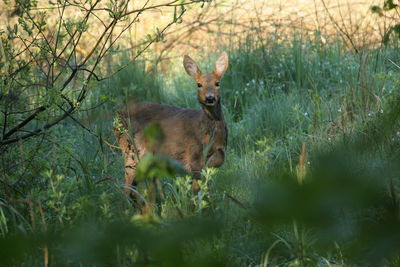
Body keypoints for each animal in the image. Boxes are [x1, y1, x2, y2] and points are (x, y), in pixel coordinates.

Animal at [114, 51, 230, 201]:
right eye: (199, 84)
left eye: (217, 83)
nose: (210, 98)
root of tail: (117, 115)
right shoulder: (194, 157)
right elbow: (196, 189)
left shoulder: (218, 154)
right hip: (131, 150)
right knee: (127, 188)